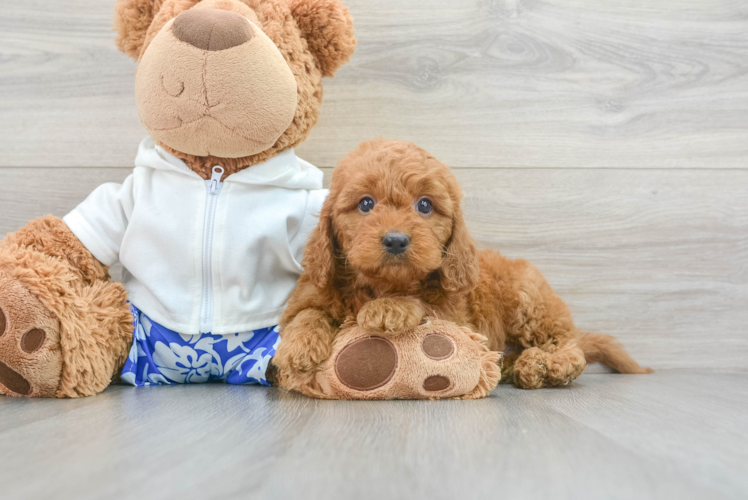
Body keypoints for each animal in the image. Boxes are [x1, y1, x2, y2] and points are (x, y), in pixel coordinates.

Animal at [274, 139, 648, 388]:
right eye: (365, 204)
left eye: (425, 205)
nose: (396, 240)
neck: (382, 284)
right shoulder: (313, 291)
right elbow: (307, 314)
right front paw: (297, 348)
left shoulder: (456, 315)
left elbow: (424, 304)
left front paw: (389, 308)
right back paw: (512, 366)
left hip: (530, 302)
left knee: (569, 347)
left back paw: (544, 366)